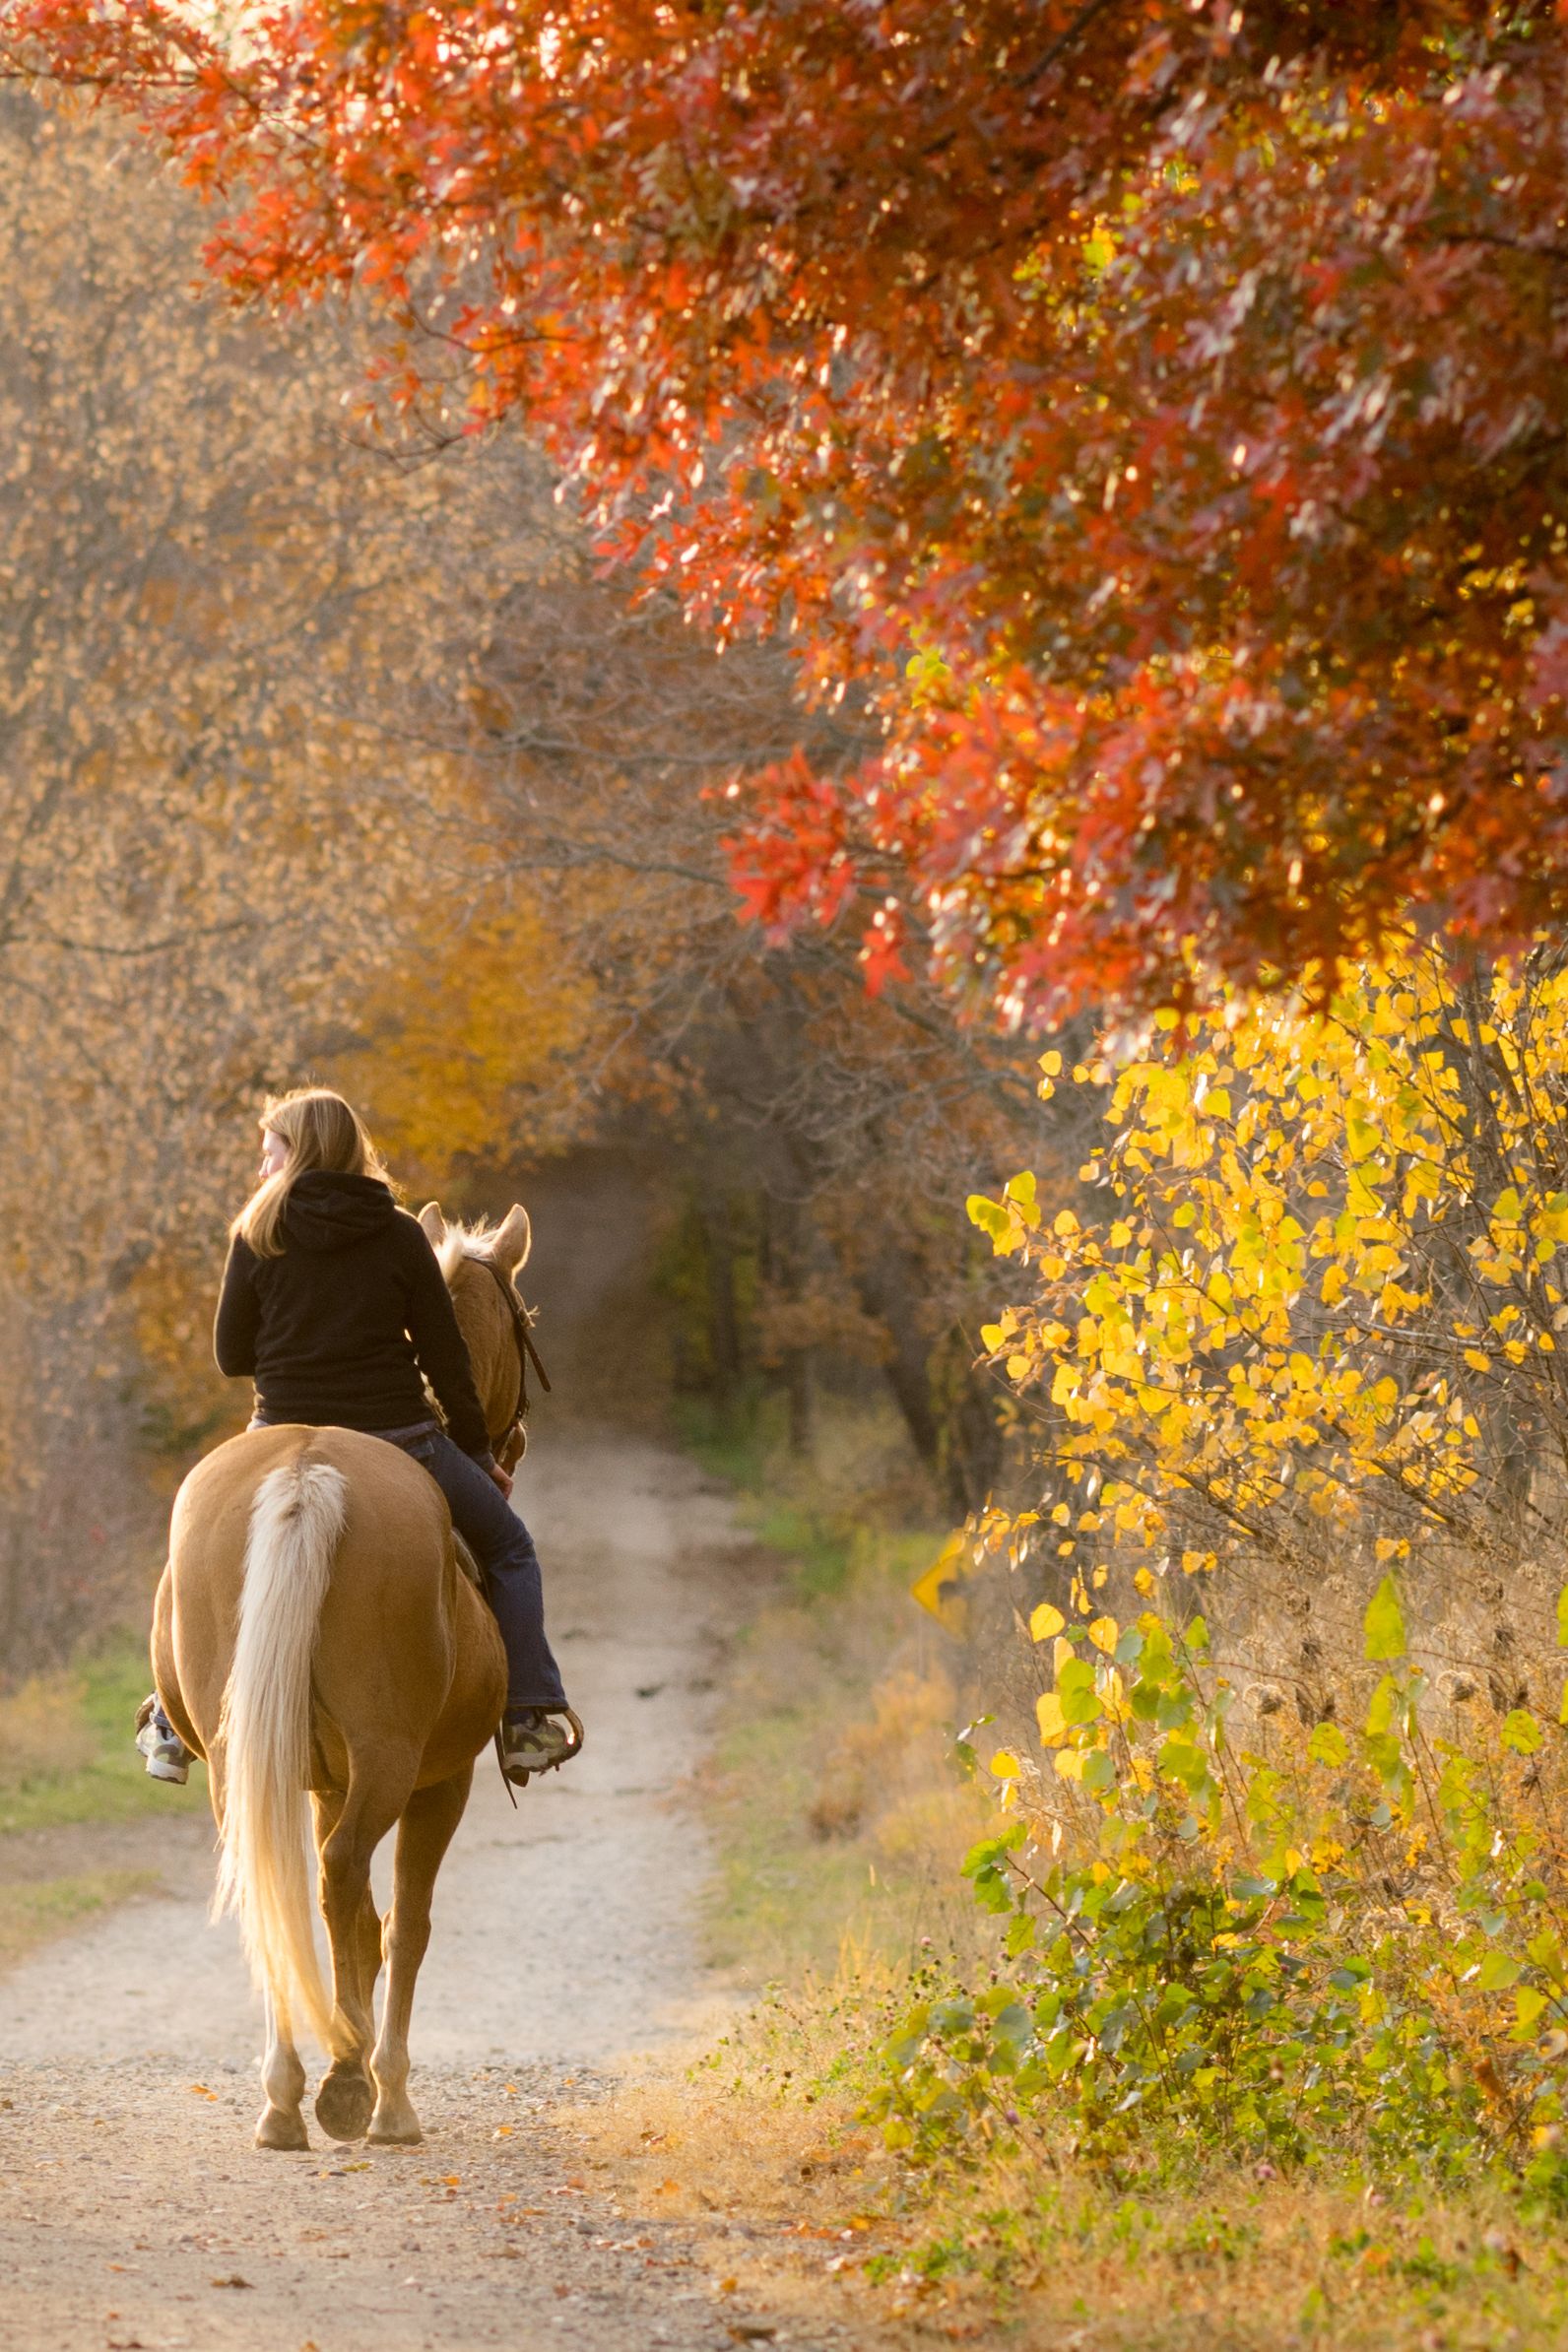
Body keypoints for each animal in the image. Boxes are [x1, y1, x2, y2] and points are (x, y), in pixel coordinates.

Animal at [151, 1204, 540, 2144]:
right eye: (524, 1320)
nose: (506, 1446)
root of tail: (306, 1474)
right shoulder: (440, 1781)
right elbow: (403, 1923)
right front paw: (389, 2090)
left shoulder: (326, 1777)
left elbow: (352, 1923)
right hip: (394, 1760)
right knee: (345, 1882)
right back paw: (348, 2085)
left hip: (245, 1760)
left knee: (286, 1887)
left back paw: (287, 2094)